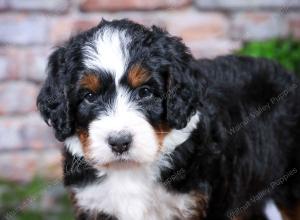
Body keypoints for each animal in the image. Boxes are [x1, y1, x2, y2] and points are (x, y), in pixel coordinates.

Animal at [37, 19, 300, 220]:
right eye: (89, 97)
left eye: (145, 92)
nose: (120, 143)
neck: (131, 169)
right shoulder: (93, 204)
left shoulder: (197, 203)